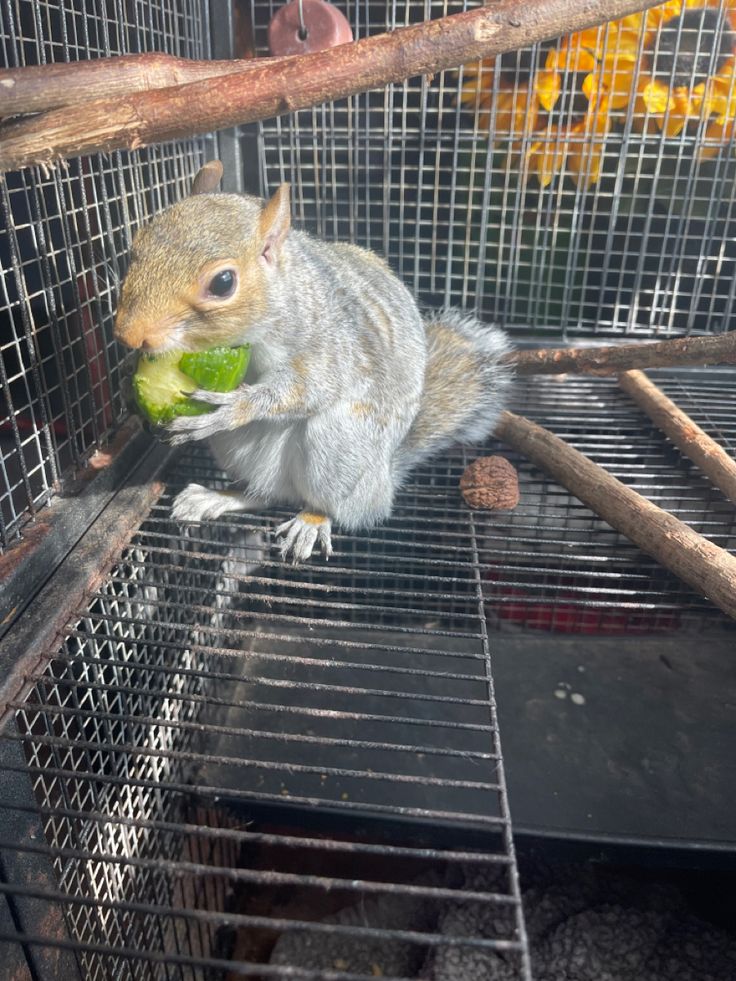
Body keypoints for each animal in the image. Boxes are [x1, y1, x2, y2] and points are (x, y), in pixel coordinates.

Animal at [115, 161, 512, 560]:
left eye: (223, 282)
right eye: (135, 246)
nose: (129, 335)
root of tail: (383, 480)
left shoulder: (332, 344)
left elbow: (311, 386)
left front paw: (235, 407)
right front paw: (131, 391)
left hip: (340, 447)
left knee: (326, 501)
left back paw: (312, 519)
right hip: (235, 452)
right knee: (266, 495)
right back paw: (218, 496)